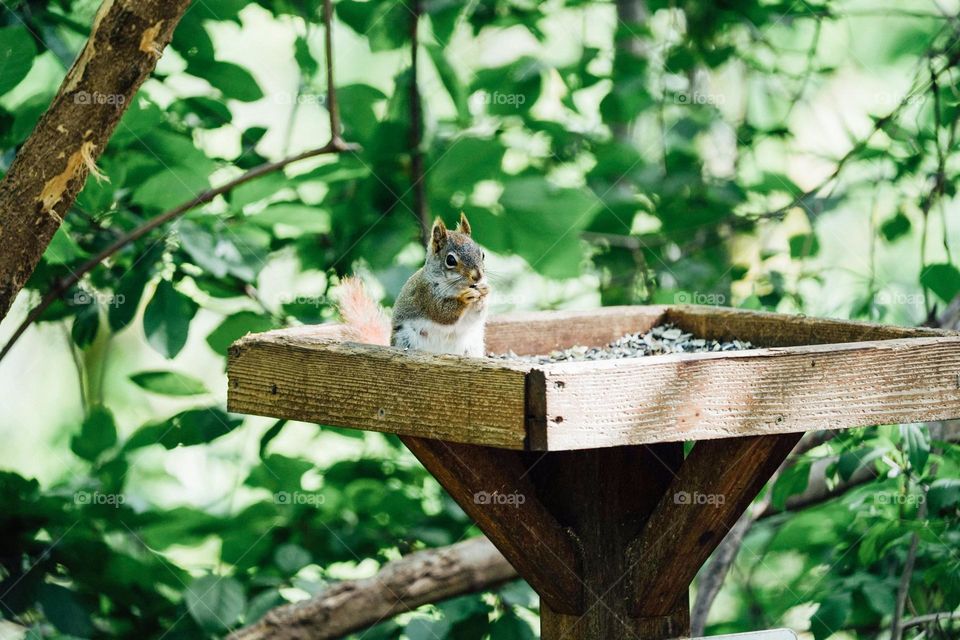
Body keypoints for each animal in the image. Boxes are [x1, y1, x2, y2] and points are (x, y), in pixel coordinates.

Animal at [336, 212, 490, 357]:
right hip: (406, 339)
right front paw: (465, 298)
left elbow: (476, 315)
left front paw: (484, 292)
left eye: (482, 254)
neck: (457, 287)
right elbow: (442, 312)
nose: (477, 276)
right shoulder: (424, 294)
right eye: (450, 260)